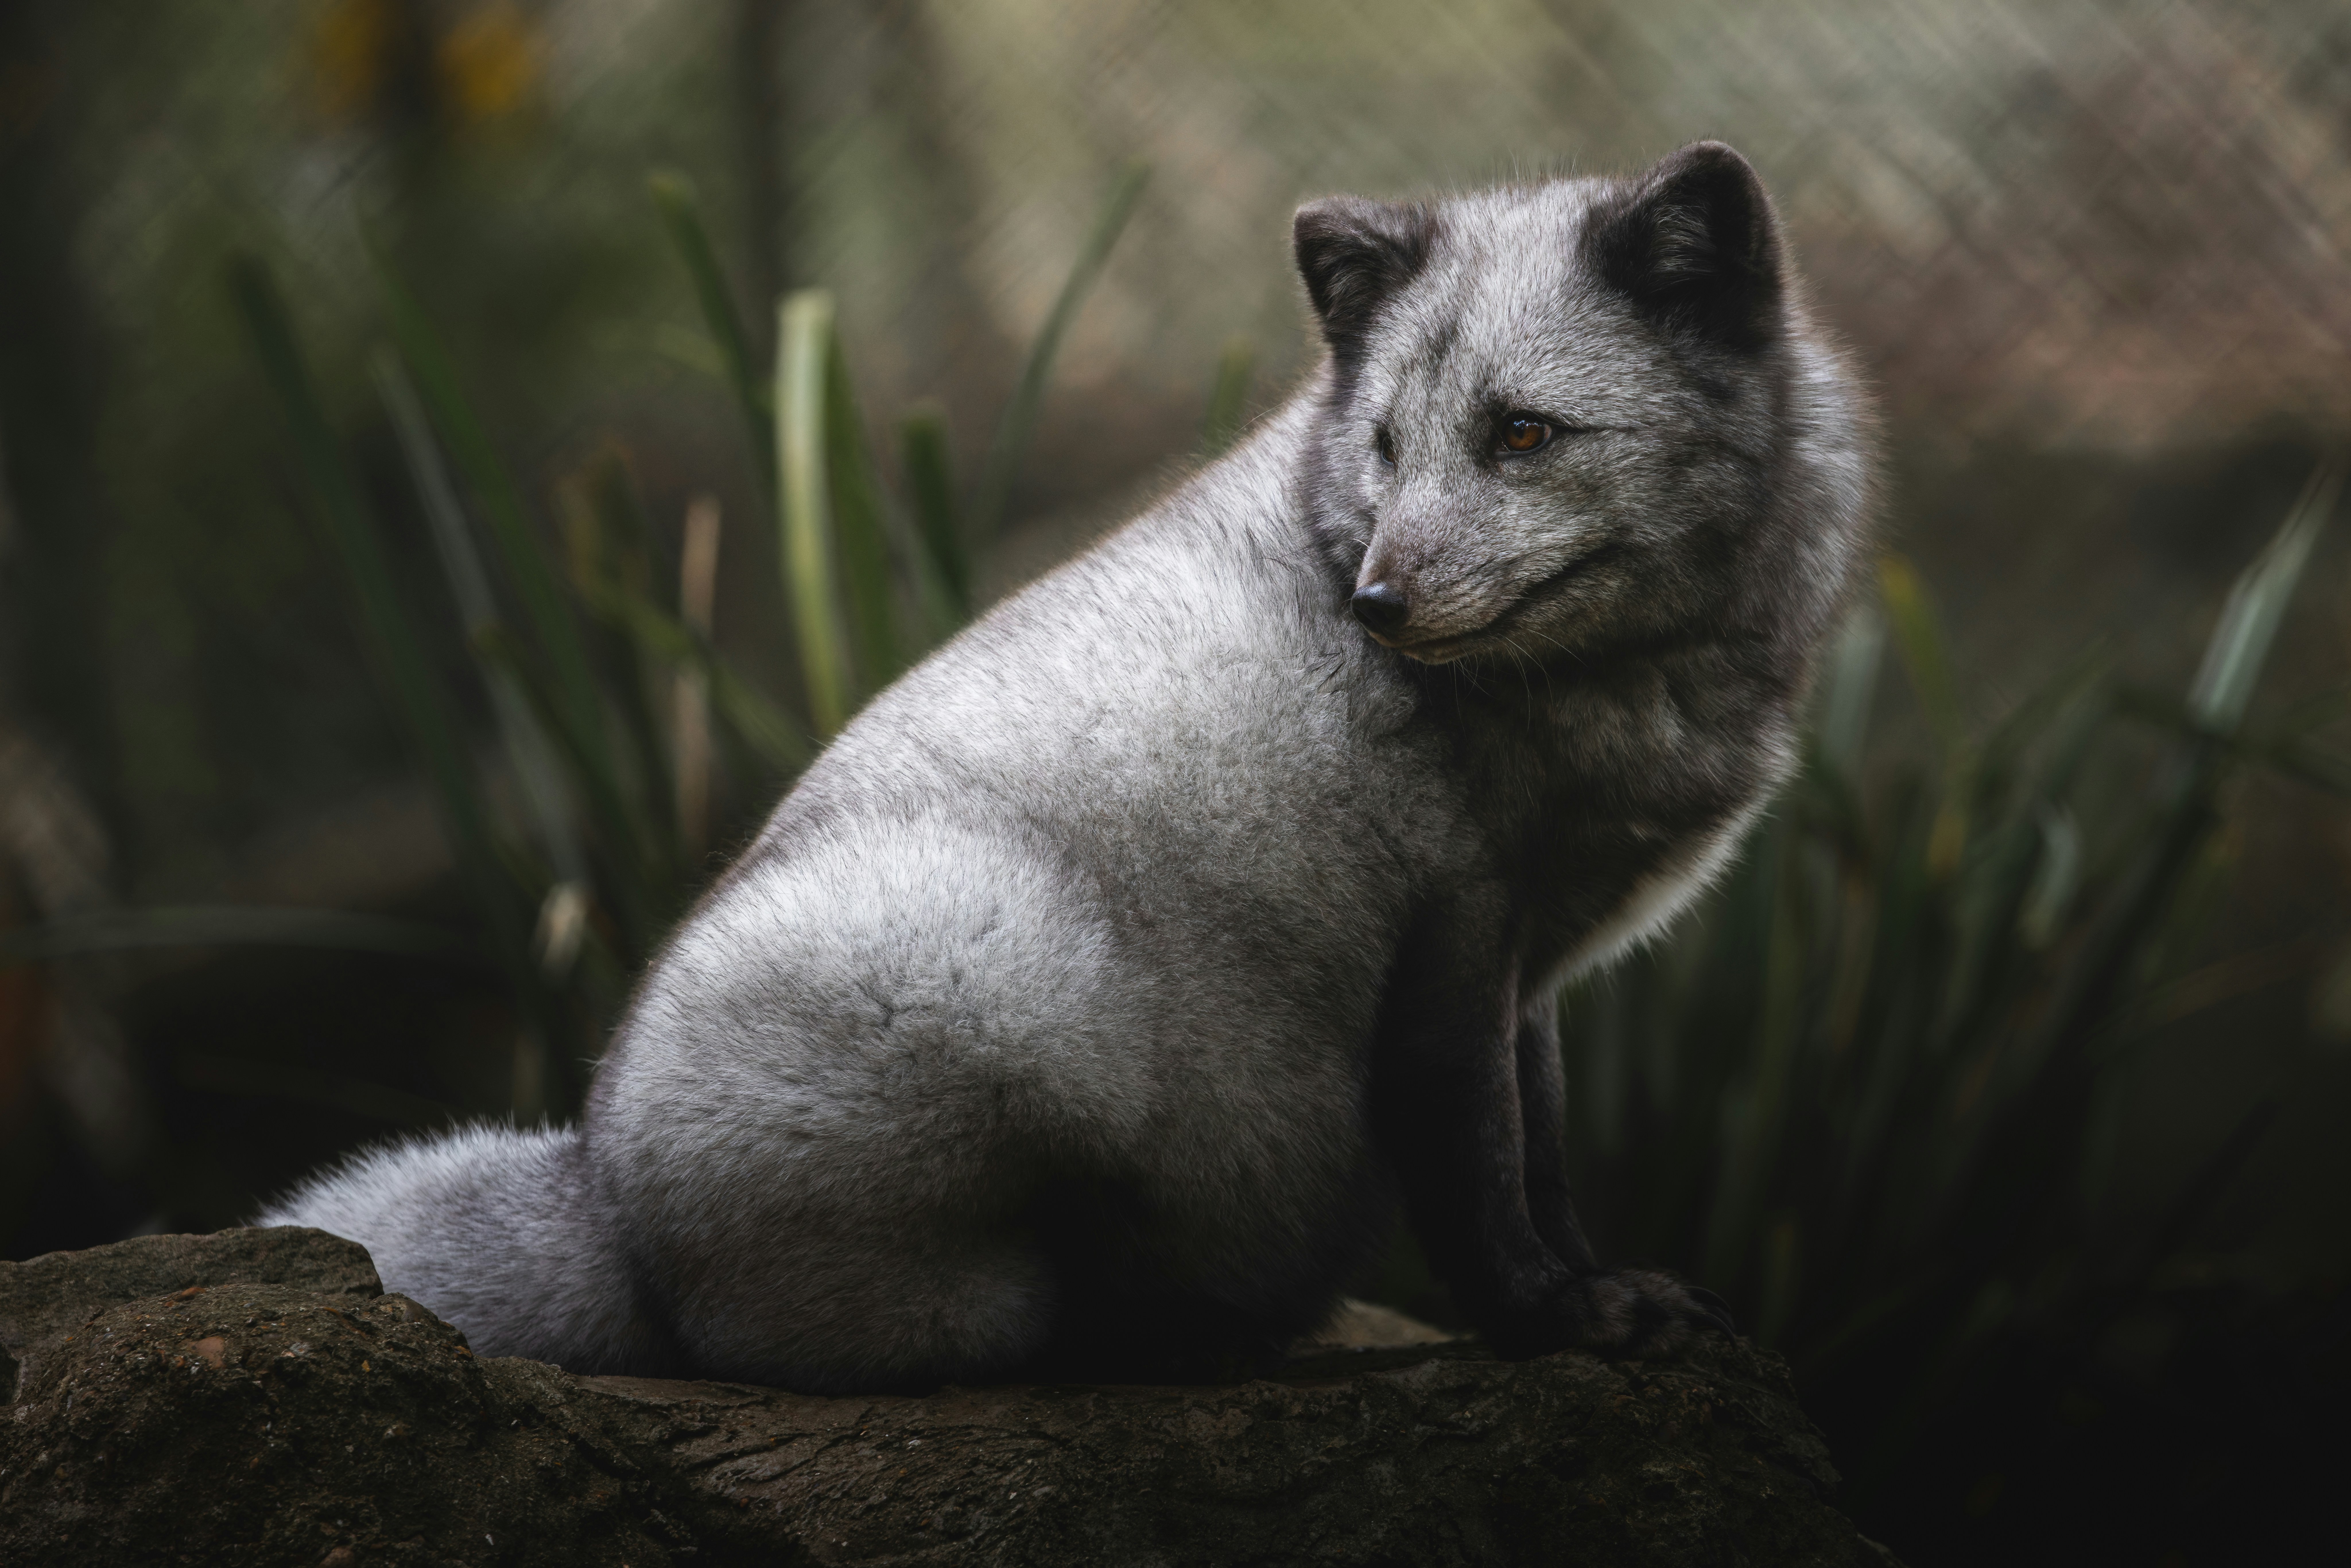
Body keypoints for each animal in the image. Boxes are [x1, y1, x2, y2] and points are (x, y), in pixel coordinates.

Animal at [263, 142, 1875, 1392]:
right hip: (1014, 966)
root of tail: (600, 1192)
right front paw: (1556, 1321)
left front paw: (1599, 1284)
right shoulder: (1454, 944)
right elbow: (1479, 1175)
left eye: (1523, 435)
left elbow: (1544, 1159)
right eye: (1386, 443)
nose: (1374, 605)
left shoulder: (1529, 969)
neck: (1634, 681)